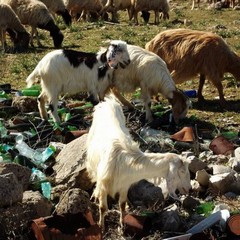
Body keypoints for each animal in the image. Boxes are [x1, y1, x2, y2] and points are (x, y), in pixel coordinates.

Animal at [86, 94, 191, 230]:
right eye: (182, 171)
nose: (190, 189)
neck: (127, 162)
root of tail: (108, 101)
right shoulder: (104, 185)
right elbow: (103, 208)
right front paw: (101, 227)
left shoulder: (124, 185)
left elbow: (122, 204)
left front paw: (122, 225)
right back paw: (94, 194)